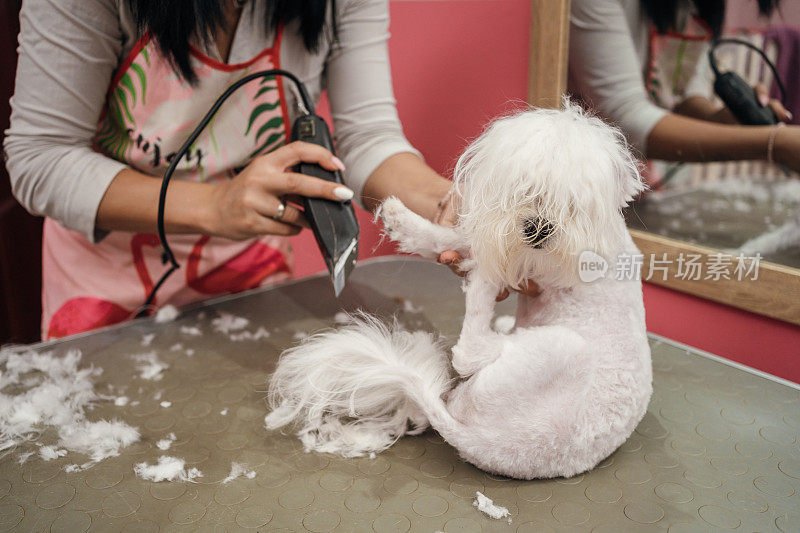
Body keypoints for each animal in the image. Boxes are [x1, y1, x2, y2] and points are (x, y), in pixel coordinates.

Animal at [266, 100, 652, 478]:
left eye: (572, 205)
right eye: (522, 190)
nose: (538, 228)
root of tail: (486, 443)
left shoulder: (535, 265)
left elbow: (465, 239)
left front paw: (409, 226)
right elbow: (464, 236)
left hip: (563, 347)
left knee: (469, 352)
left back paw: (481, 283)